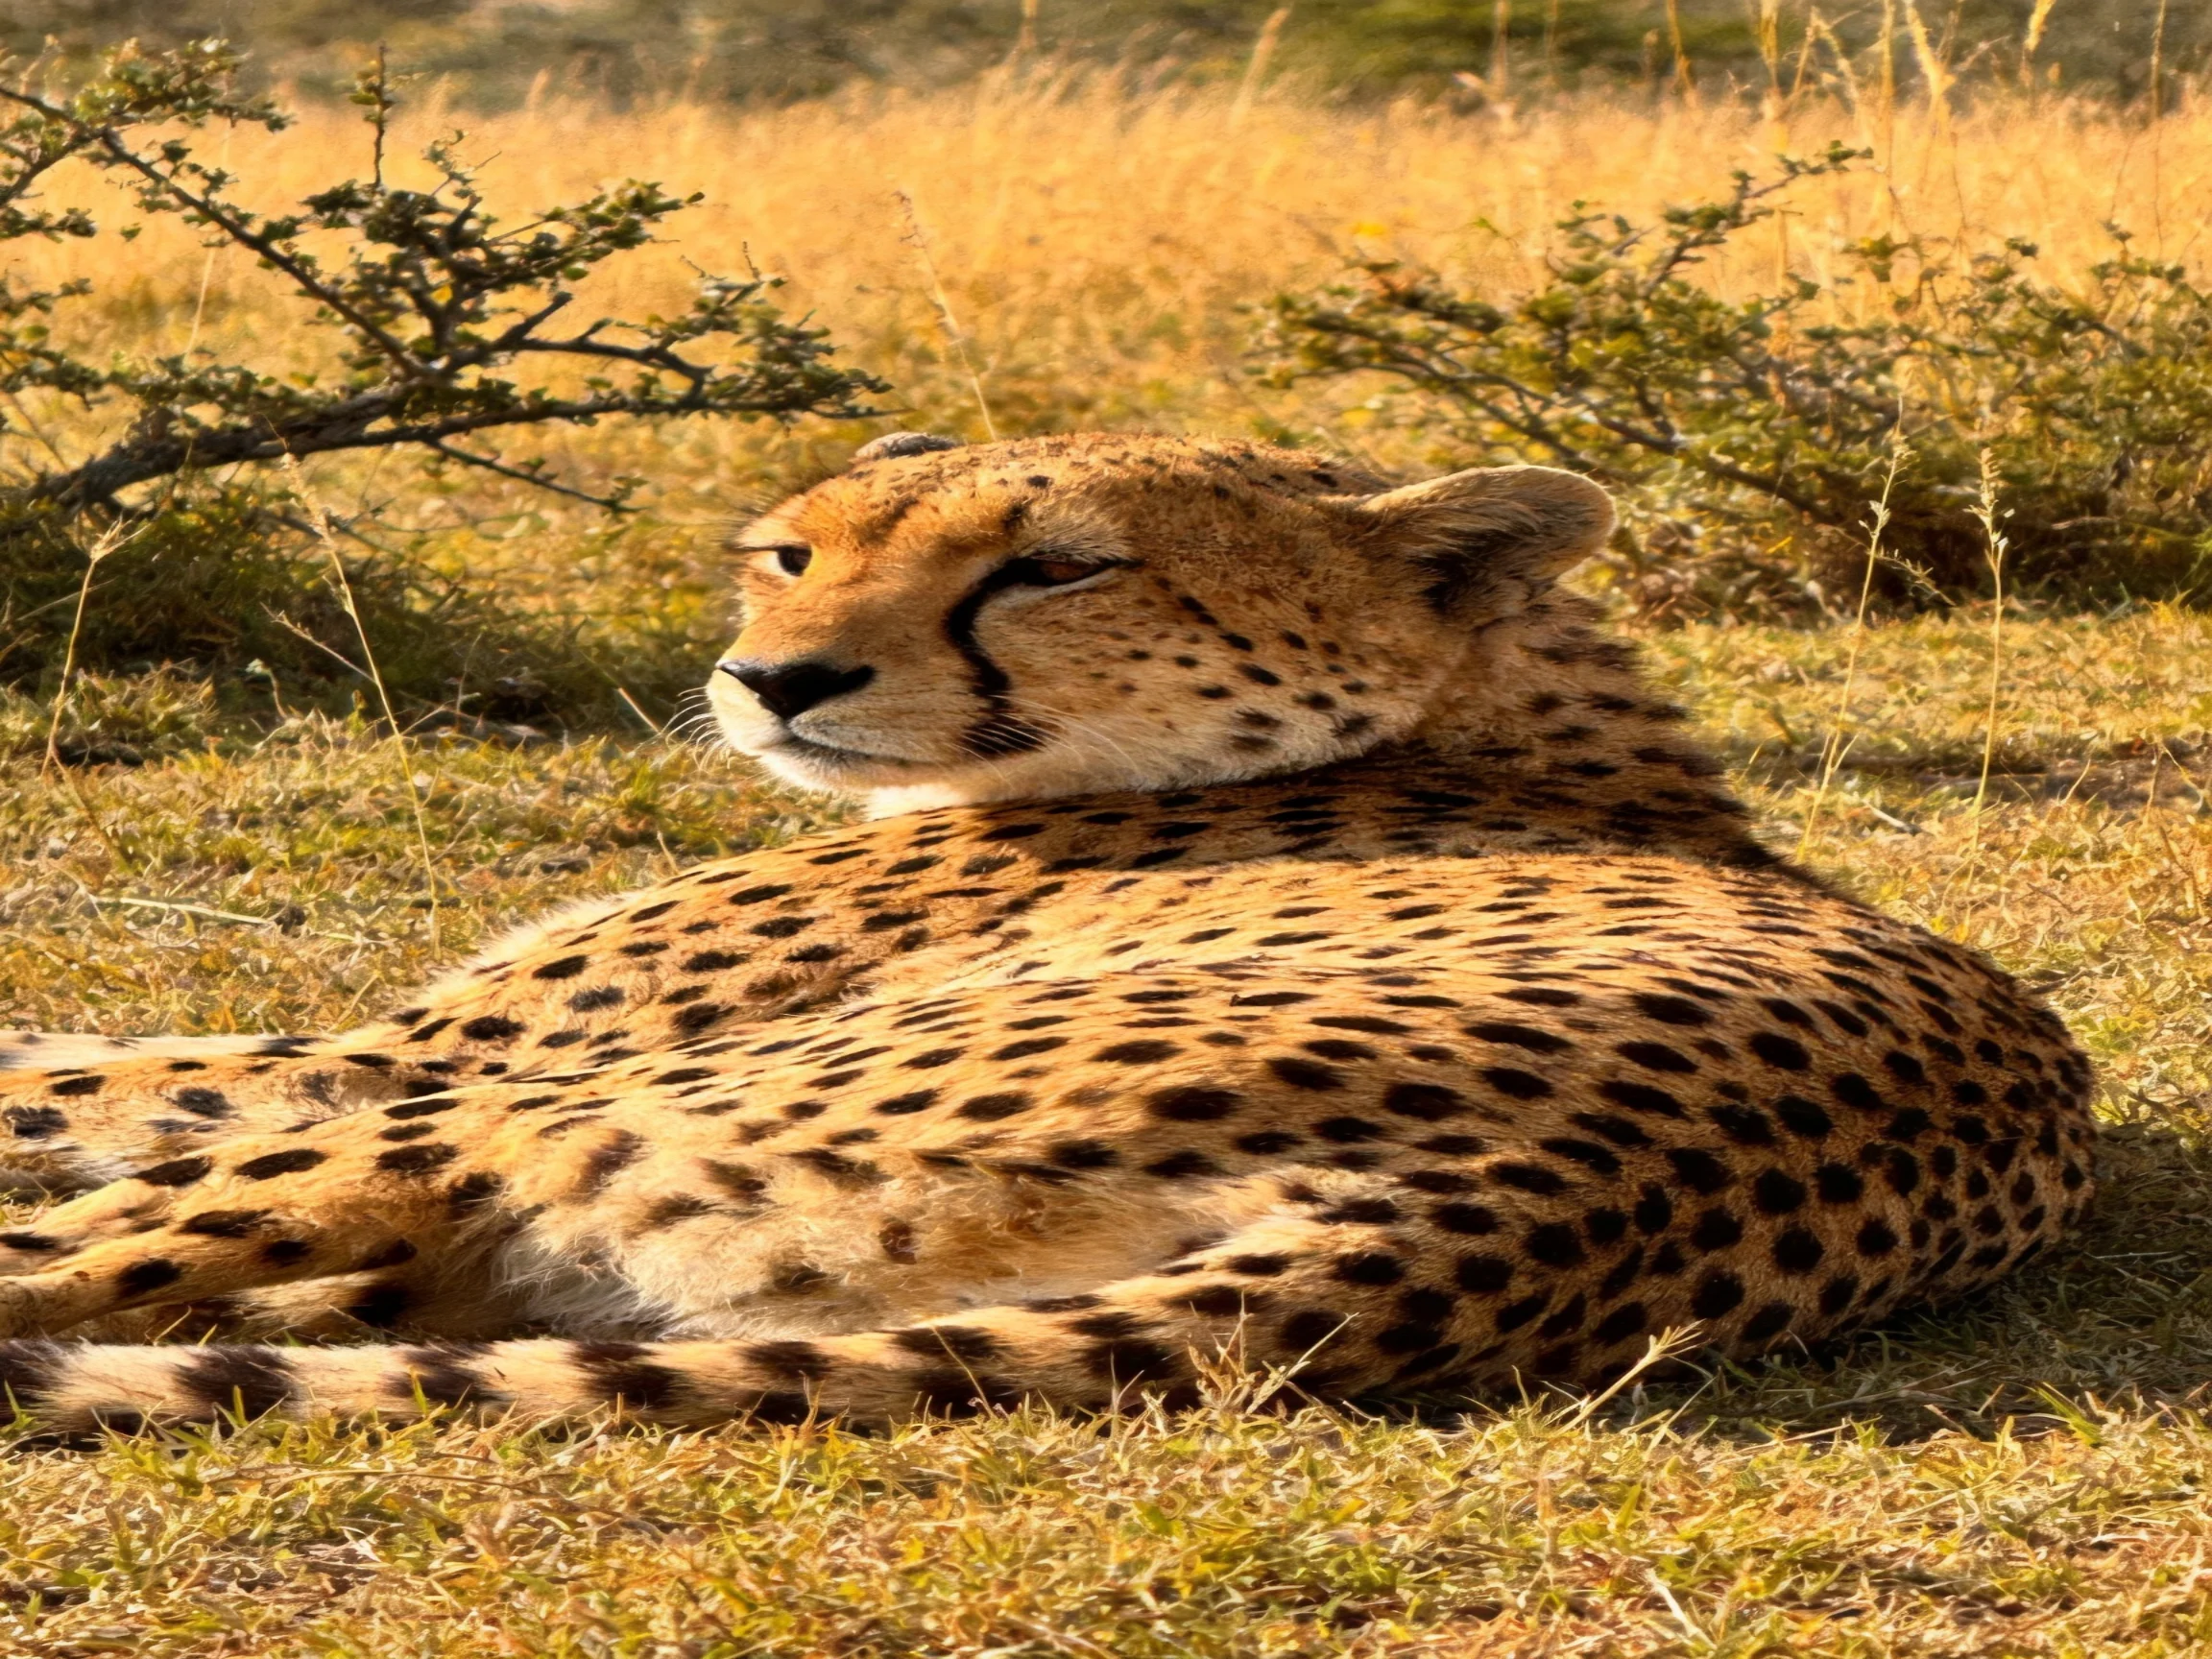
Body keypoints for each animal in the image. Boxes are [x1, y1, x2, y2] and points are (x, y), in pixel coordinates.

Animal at [0, 431, 2094, 1432]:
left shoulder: (420, 1050)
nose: (773, 679)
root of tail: (1518, 1217)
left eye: (1057, 566)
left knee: (95, 1249)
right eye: (791, 550)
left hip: (522, 1119)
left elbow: (61, 1070)